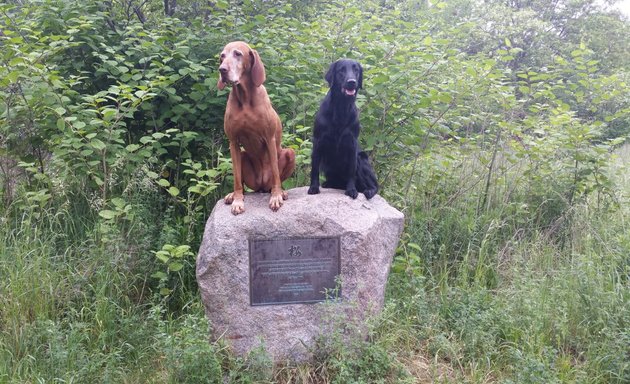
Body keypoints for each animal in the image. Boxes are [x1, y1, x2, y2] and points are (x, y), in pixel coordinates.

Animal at [217, 42, 296, 216]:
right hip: (243, 157)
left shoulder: (269, 138)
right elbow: (236, 178)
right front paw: (237, 200)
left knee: (276, 179)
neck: (245, 99)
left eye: (238, 54)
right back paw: (234, 195)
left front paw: (276, 197)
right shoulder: (233, 142)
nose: (222, 70)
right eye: (222, 56)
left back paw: (281, 191)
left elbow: (275, 173)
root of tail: (261, 186)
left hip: (289, 153)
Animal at [308, 59, 378, 201]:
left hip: (361, 159)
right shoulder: (318, 141)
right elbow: (315, 168)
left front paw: (351, 190)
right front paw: (314, 187)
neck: (341, 108)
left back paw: (368, 190)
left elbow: (351, 170)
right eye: (341, 70)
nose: (352, 82)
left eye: (356, 70)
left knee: (375, 186)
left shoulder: (351, 143)